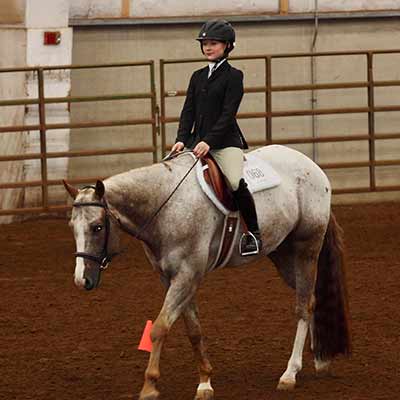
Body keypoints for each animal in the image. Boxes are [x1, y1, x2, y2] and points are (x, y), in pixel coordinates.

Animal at [62, 145, 350, 400]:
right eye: (72, 227)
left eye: (98, 227)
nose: (81, 280)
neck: (166, 207)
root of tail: (313, 167)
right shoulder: (174, 278)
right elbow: (193, 329)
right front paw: (204, 382)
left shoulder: (187, 275)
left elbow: (160, 327)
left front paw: (150, 386)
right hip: (283, 255)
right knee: (311, 300)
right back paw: (320, 360)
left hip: (305, 251)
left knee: (303, 306)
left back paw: (290, 374)